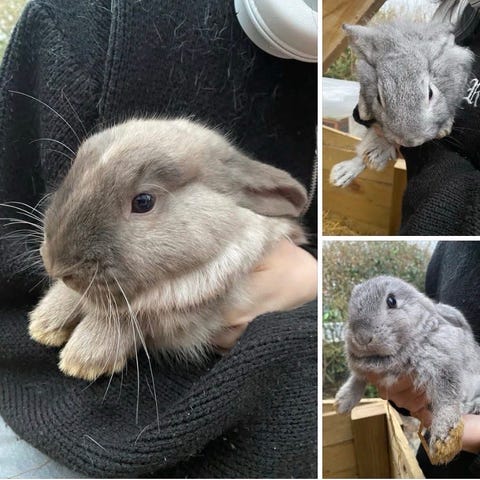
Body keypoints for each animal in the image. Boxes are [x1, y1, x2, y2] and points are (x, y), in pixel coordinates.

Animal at [28, 118, 308, 381]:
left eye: (143, 202)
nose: (54, 263)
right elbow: (78, 295)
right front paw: (44, 324)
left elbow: (128, 318)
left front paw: (83, 359)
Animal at [329, 20, 474, 187]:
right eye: (379, 98)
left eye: (430, 93)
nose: (410, 142)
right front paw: (365, 112)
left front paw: (444, 129)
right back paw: (343, 174)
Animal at [334, 275, 480, 465]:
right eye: (351, 303)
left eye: (391, 301)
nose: (362, 337)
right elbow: (358, 379)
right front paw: (342, 403)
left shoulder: (443, 365)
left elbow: (447, 400)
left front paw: (444, 443)